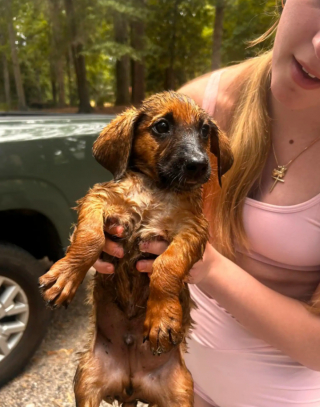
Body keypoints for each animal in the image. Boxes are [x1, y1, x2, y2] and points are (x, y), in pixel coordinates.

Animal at [38, 92, 232, 407]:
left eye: (205, 131)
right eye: (162, 126)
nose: (199, 164)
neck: (155, 189)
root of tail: (131, 383)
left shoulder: (192, 229)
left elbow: (167, 265)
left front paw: (162, 317)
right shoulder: (98, 199)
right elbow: (90, 238)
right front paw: (66, 276)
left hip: (181, 390)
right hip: (86, 379)